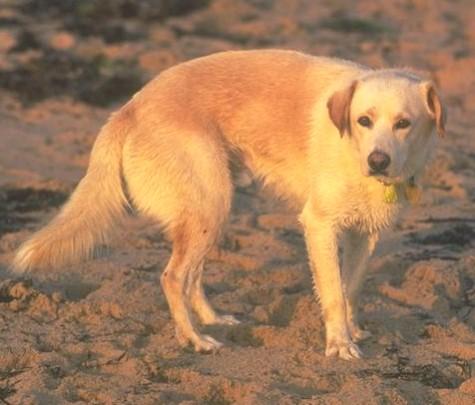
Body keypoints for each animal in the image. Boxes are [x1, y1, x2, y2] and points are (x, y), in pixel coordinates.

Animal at [11, 49, 446, 358]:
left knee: (192, 275)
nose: (378, 161)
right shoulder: (320, 225)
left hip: (210, 209)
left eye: (404, 124)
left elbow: (351, 287)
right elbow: (334, 293)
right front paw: (339, 345)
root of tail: (129, 108)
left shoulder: (365, 234)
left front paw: (352, 332)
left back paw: (212, 319)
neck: (352, 150)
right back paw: (194, 339)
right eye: (363, 121)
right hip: (212, 202)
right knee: (173, 277)